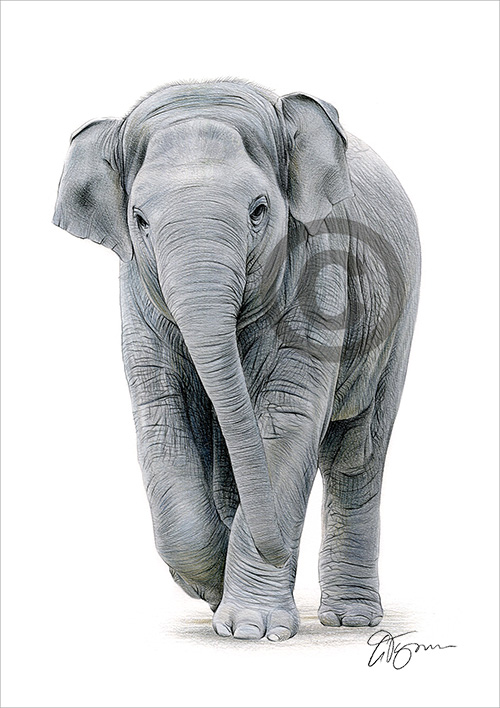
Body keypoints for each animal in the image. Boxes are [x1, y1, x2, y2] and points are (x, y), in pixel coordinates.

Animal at [53, 79, 420, 642]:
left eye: (259, 210)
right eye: (139, 220)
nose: (278, 549)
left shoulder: (320, 274)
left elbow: (288, 419)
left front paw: (253, 629)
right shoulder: (136, 294)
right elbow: (161, 418)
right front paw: (212, 588)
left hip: (398, 317)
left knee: (358, 450)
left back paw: (350, 619)